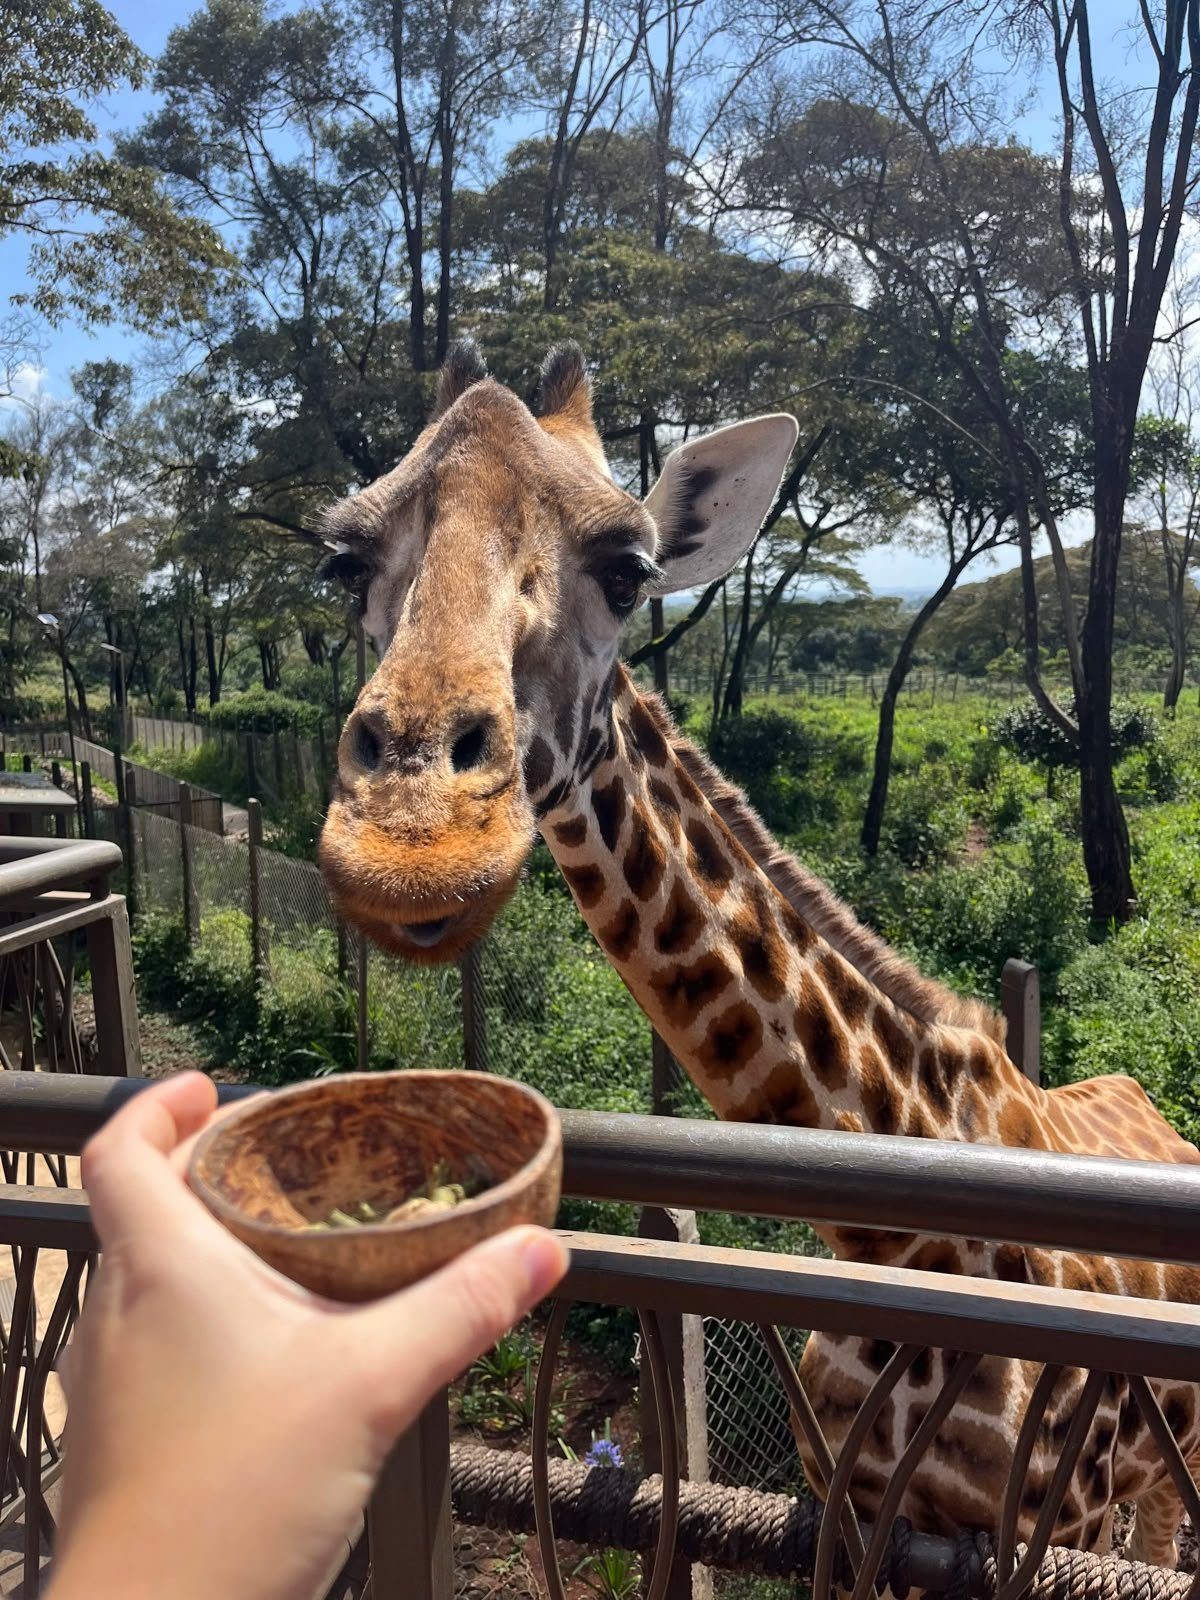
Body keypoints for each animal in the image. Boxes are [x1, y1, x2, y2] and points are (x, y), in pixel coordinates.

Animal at [317, 340, 1200, 1567]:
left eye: (630, 568)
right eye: (341, 561)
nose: (413, 843)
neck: (897, 1236)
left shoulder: (1029, 1529)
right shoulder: (852, 1512)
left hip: (1156, 1472)